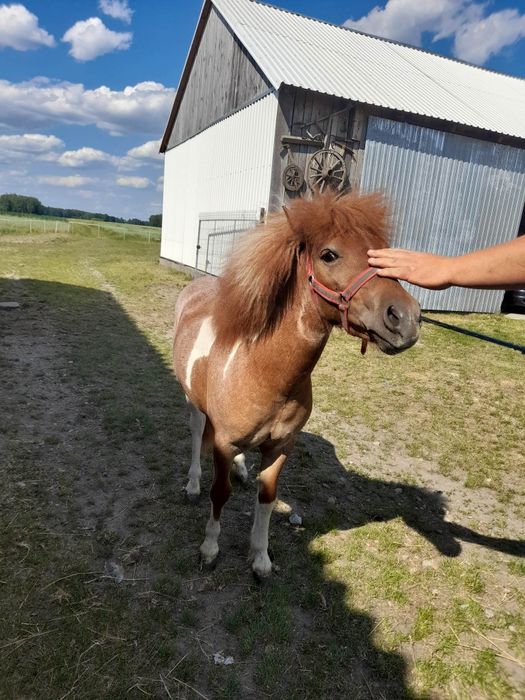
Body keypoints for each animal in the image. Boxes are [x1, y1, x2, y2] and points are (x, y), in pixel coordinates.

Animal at [174, 189, 420, 576]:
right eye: (329, 254)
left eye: (380, 251)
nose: (406, 318)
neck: (264, 371)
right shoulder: (224, 443)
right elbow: (220, 493)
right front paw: (210, 548)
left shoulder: (280, 448)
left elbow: (267, 498)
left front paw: (261, 558)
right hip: (193, 402)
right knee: (197, 433)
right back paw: (193, 483)